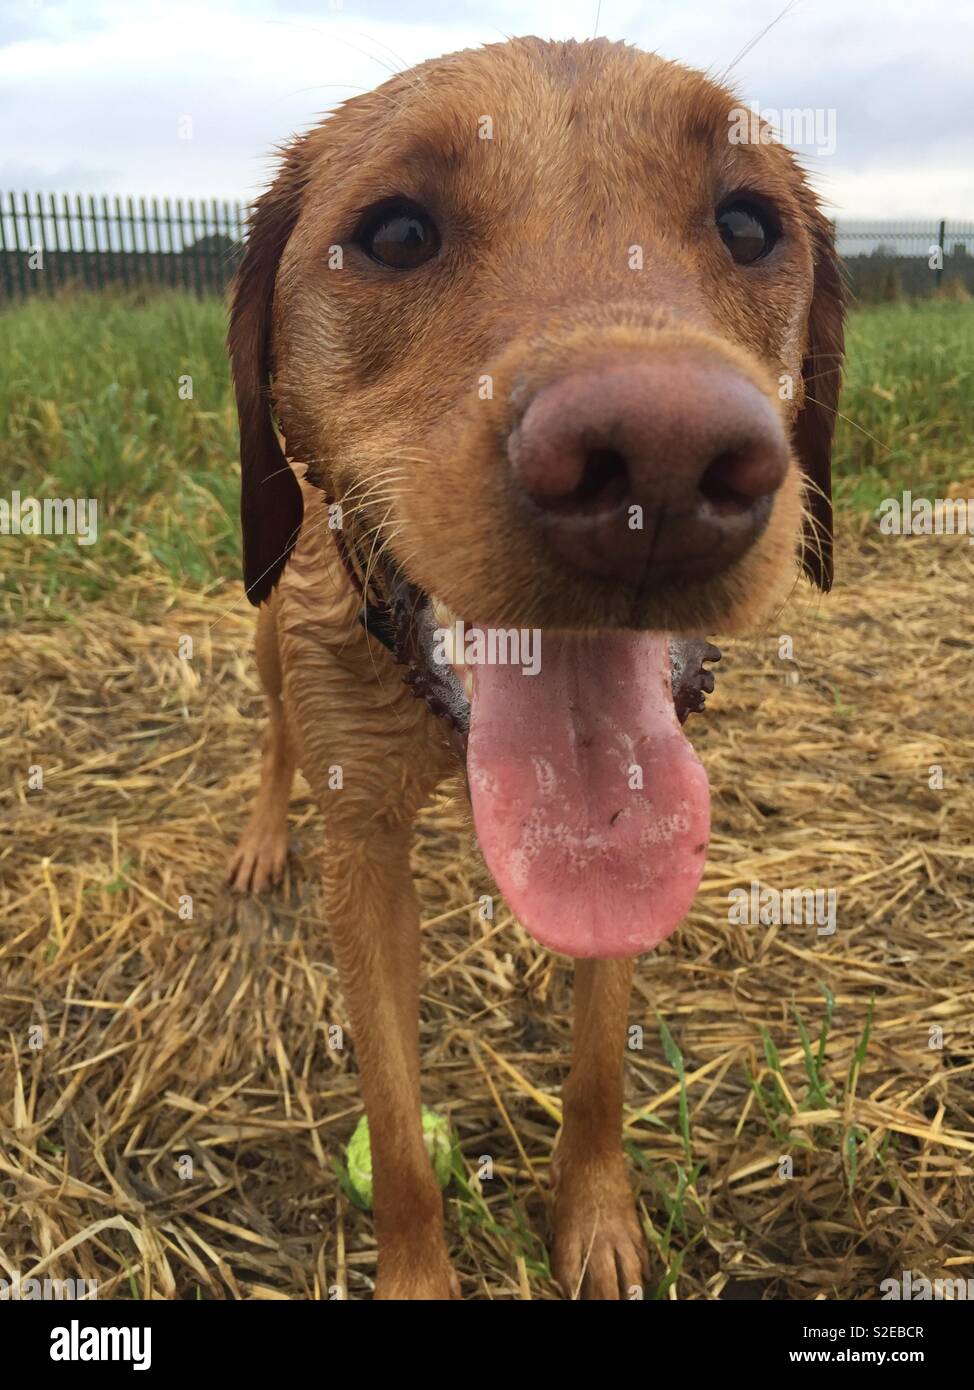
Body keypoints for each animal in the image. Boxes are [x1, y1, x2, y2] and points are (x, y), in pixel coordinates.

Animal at [226, 38, 844, 1295]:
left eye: (747, 224)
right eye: (396, 233)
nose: (660, 461)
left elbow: (599, 1059)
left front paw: (599, 1221)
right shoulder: (362, 859)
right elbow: (397, 1132)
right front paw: (418, 1273)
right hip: (269, 634)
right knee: (274, 735)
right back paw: (264, 830)